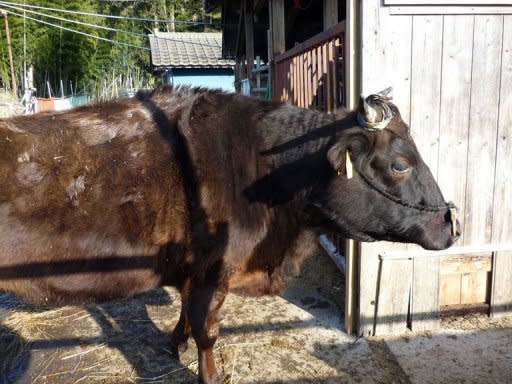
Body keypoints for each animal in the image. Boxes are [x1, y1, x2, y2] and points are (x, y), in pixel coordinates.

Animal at [0, 85, 460, 382]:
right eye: (400, 164)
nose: (452, 224)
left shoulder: (193, 272)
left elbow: (187, 316)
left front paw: (176, 343)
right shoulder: (212, 271)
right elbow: (209, 330)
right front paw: (208, 371)